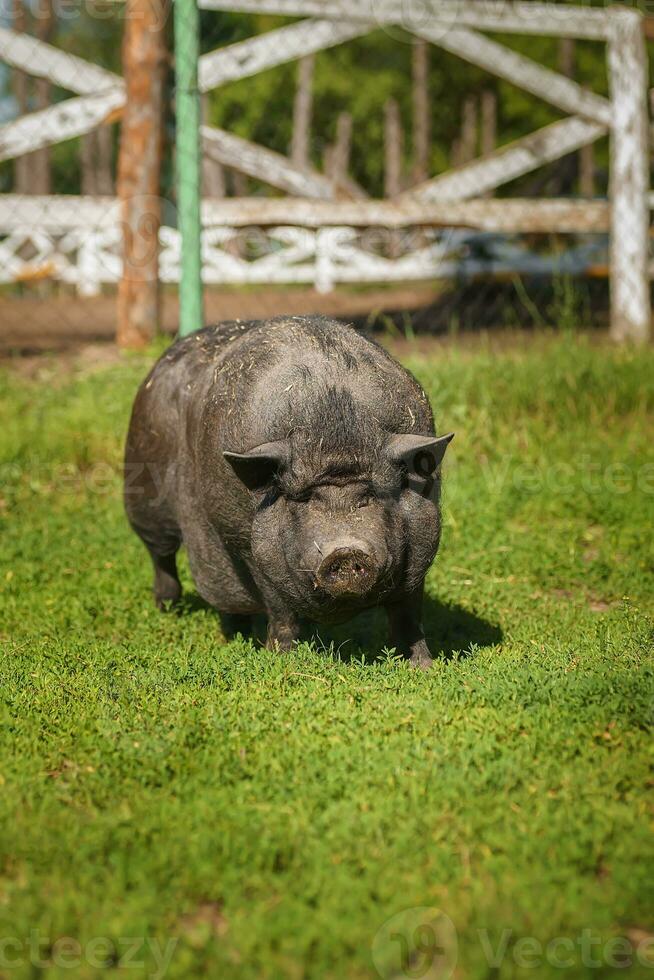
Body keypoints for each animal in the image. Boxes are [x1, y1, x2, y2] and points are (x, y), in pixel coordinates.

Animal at [123, 318, 454, 668]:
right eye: (306, 500)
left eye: (371, 496)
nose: (345, 551)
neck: (335, 428)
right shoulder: (254, 551)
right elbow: (282, 613)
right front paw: (283, 661)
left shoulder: (421, 546)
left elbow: (408, 613)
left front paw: (422, 667)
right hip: (144, 496)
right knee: (162, 557)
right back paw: (168, 611)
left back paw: (236, 635)